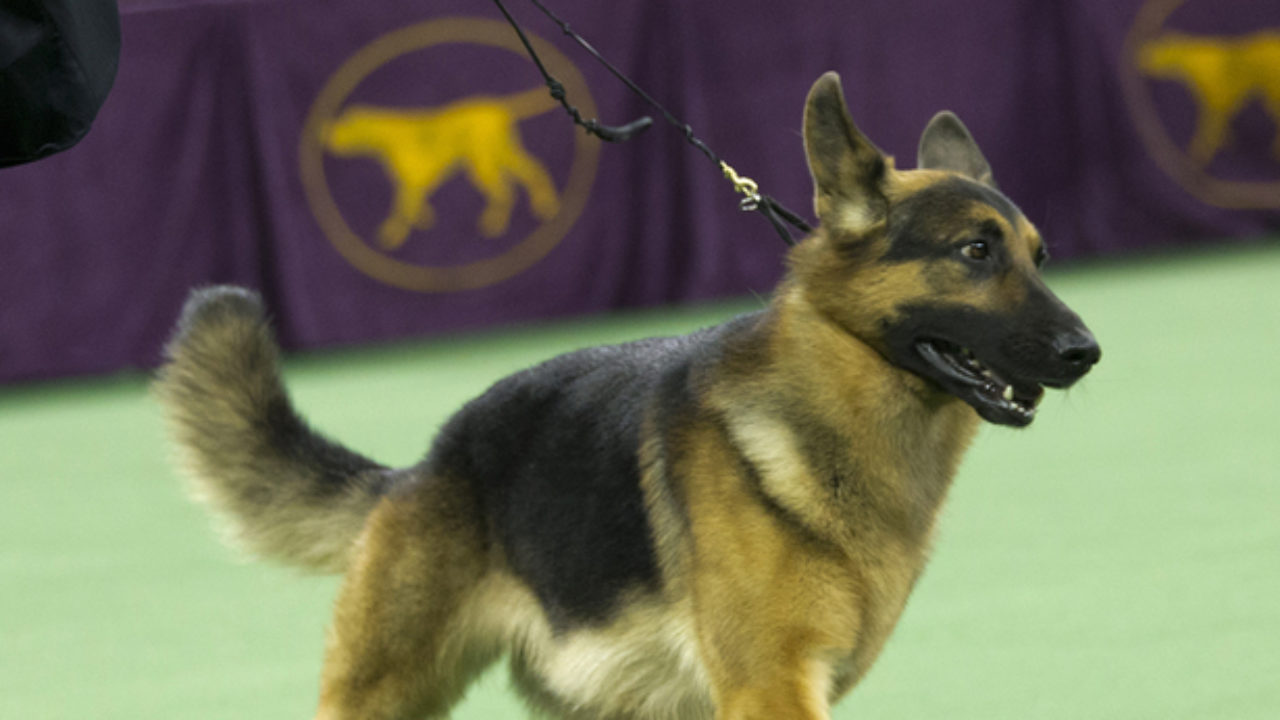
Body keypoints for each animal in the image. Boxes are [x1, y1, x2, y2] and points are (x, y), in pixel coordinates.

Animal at [157, 74, 1100, 717]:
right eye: (975, 252)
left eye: (1038, 257)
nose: (1087, 353)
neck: (828, 420)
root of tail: (426, 464)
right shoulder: (771, 686)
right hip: (384, 689)